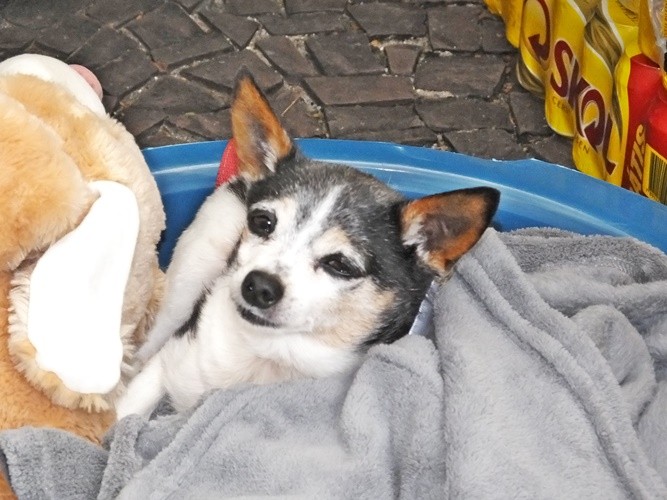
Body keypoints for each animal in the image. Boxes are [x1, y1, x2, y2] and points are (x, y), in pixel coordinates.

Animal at [116, 74, 500, 418]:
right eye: (262, 222)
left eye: (340, 265)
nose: (258, 285)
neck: (270, 352)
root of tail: (241, 177)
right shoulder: (172, 357)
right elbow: (128, 411)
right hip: (188, 279)